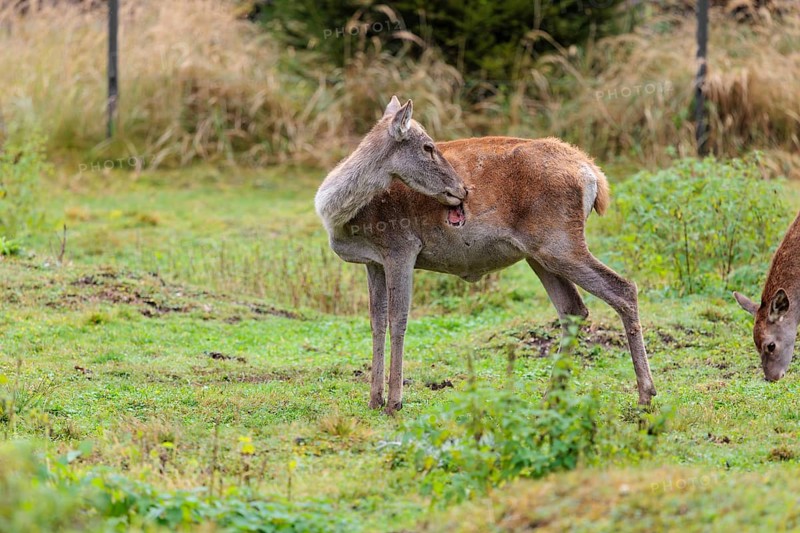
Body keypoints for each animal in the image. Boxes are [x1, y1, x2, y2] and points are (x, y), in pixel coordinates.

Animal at [315, 96, 656, 414]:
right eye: (427, 146)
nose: (462, 190)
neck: (342, 218)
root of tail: (595, 176)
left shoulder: (402, 247)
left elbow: (398, 319)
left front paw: (394, 403)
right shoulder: (374, 262)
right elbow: (376, 322)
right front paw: (374, 400)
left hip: (561, 242)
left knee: (623, 288)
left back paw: (646, 395)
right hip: (539, 253)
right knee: (573, 308)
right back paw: (551, 398)